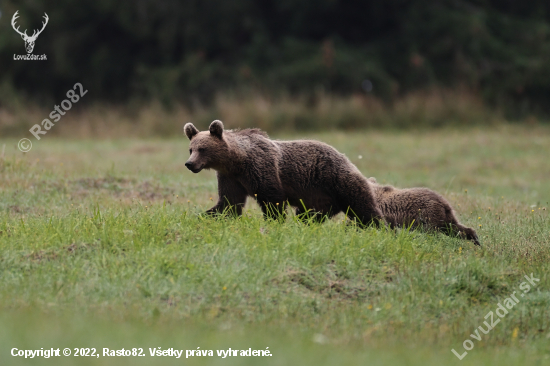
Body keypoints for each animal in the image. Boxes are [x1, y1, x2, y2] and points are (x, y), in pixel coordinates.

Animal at [185, 120, 384, 226]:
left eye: (202, 149)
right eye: (191, 149)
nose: (189, 164)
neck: (236, 161)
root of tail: (344, 156)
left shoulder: (260, 168)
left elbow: (272, 199)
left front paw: (274, 221)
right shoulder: (231, 178)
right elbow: (229, 203)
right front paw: (204, 216)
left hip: (335, 179)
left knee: (361, 204)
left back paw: (377, 224)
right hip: (318, 197)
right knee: (310, 214)